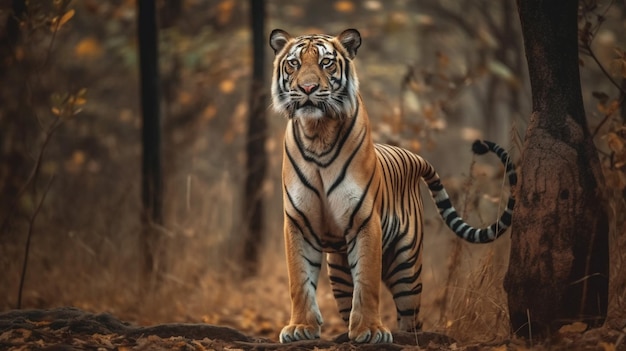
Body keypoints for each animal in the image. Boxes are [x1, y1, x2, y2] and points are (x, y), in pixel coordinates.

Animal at [268, 28, 516, 346]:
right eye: (294, 64)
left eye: (326, 63)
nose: (308, 88)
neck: (317, 132)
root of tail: (414, 157)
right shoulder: (299, 221)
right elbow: (299, 279)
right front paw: (300, 327)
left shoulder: (364, 221)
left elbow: (367, 281)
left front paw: (370, 331)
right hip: (339, 270)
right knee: (347, 298)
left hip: (406, 267)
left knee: (411, 317)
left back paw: (404, 337)